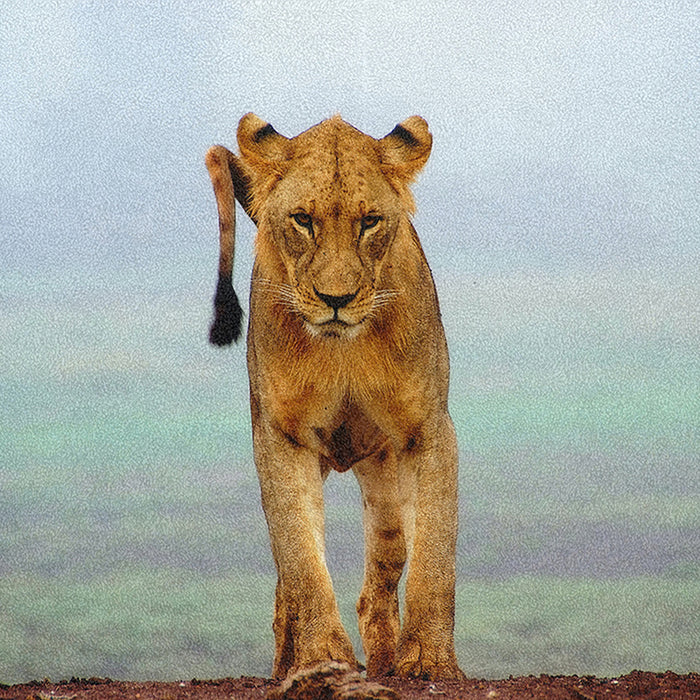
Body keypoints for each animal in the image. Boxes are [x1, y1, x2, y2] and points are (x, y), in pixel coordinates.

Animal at [205, 113, 464, 682]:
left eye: (370, 222)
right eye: (303, 220)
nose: (337, 300)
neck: (344, 350)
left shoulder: (430, 429)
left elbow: (435, 554)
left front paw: (429, 661)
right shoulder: (281, 437)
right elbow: (302, 559)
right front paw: (323, 659)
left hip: (385, 483)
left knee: (381, 581)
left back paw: (386, 664)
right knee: (286, 590)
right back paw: (287, 665)